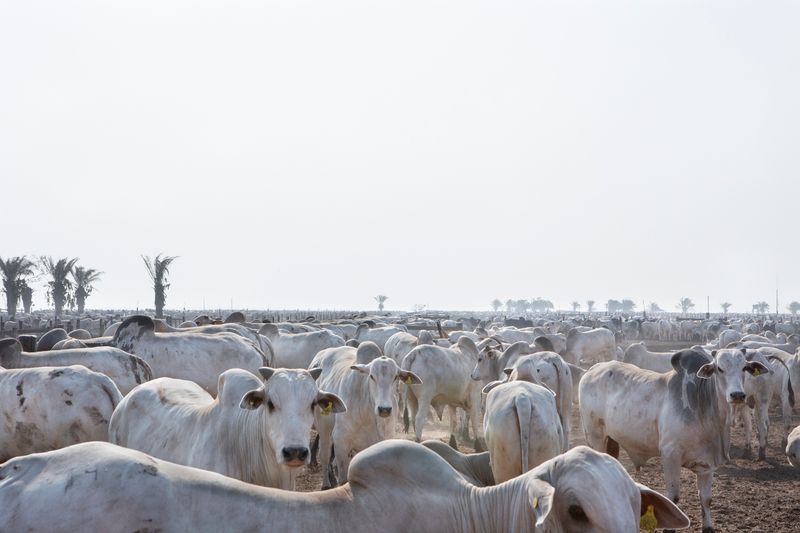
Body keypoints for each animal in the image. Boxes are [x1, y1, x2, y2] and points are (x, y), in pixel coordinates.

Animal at [310, 343, 420, 487]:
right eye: (372, 376)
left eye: (396, 377)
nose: (384, 409)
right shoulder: (340, 440)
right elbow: (343, 478)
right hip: (323, 427)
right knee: (325, 454)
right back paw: (326, 483)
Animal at [579, 349, 769, 532]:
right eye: (719, 369)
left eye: (744, 368)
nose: (737, 395)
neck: (702, 408)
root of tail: (592, 369)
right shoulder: (670, 454)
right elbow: (673, 499)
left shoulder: (707, 464)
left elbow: (706, 499)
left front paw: (708, 526)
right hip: (595, 437)